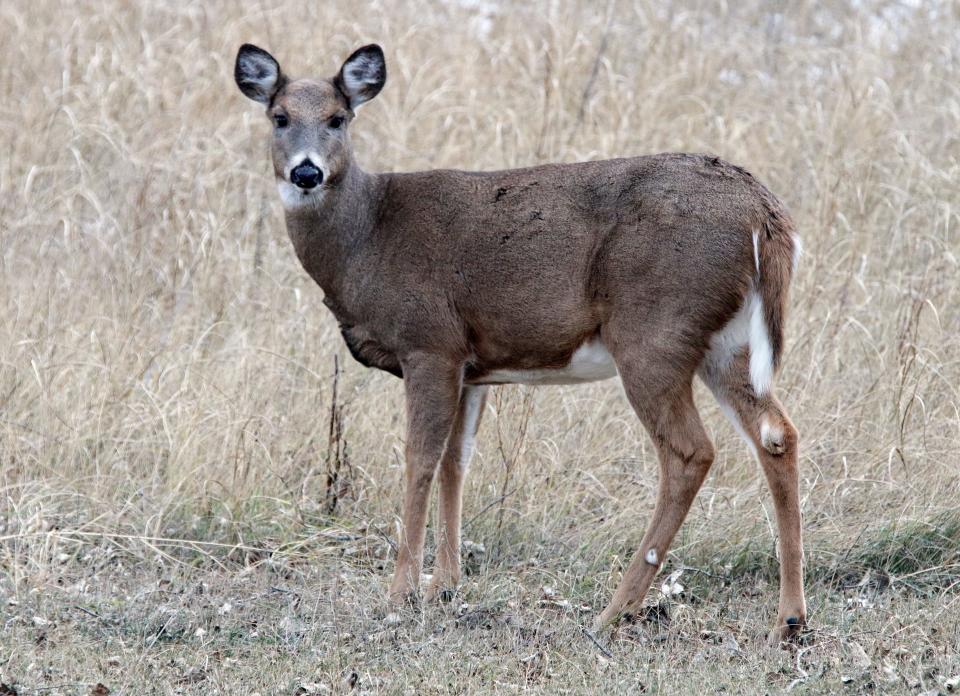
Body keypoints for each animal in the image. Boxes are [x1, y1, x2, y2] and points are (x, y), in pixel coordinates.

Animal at [236, 42, 808, 640]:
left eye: (337, 118)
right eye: (279, 118)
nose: (306, 171)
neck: (366, 239)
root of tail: (765, 214)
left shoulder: (429, 342)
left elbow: (420, 458)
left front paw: (400, 593)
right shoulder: (470, 364)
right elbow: (456, 461)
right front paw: (444, 586)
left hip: (654, 332)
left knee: (690, 451)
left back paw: (616, 609)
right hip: (725, 343)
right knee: (776, 434)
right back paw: (788, 618)